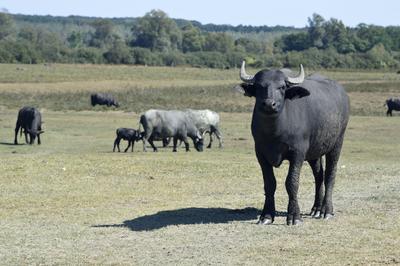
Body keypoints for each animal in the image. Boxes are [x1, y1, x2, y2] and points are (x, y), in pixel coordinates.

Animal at [238, 61, 350, 225]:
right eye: (259, 86)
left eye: (282, 87)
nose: (269, 104)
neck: (274, 132)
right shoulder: (260, 154)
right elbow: (269, 184)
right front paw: (266, 216)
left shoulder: (298, 153)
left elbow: (291, 183)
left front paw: (294, 217)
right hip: (314, 153)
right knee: (319, 176)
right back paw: (316, 209)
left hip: (337, 144)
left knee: (330, 175)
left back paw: (326, 211)